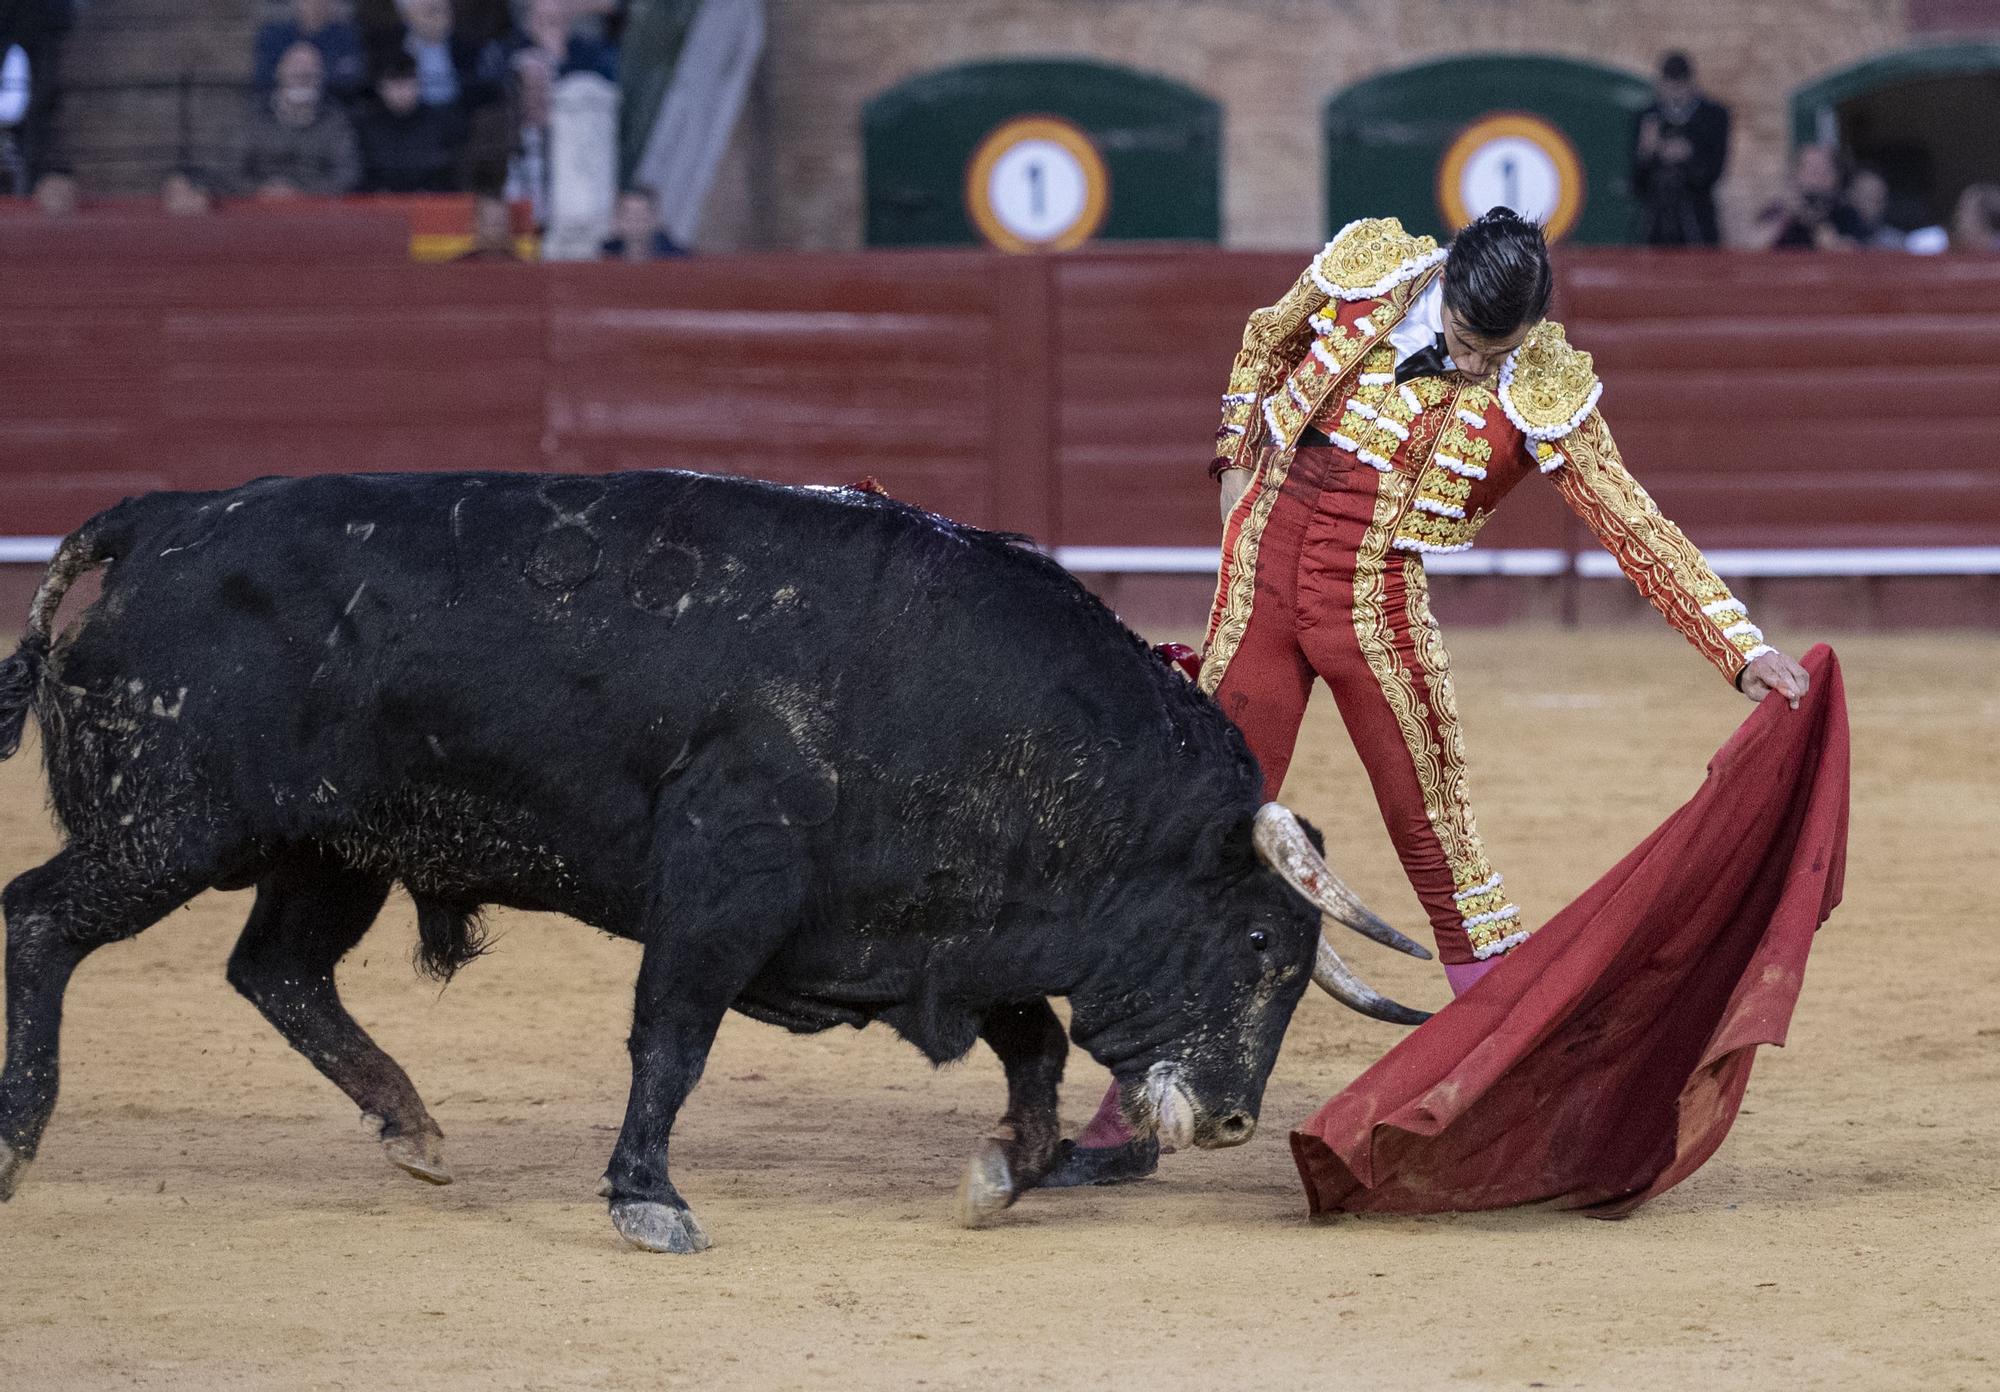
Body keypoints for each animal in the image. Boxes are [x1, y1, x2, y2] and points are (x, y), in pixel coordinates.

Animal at [3, 470, 1440, 1248]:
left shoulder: (934, 931)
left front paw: (998, 1178)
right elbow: (672, 1042)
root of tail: (154, 522)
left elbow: (1031, 1043)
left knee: (278, 971)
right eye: (1254, 942)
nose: (1237, 1119)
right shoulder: (720, 890)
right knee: (40, 921)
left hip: (323, 846)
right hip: (169, 826)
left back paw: (410, 1127)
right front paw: (647, 1200)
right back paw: (18, 1142)